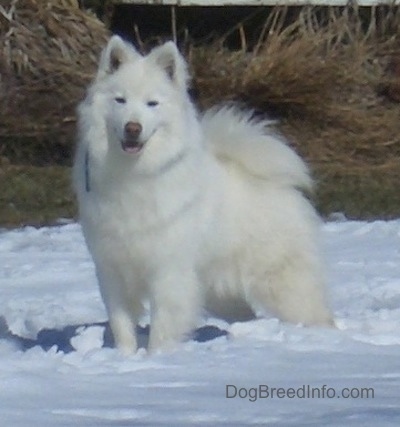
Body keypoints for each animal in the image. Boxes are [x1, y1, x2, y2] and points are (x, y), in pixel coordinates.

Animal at [73, 35, 332, 354]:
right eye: (119, 100)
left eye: (152, 104)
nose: (133, 128)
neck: (134, 175)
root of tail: (278, 184)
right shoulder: (111, 270)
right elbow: (121, 324)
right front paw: (125, 357)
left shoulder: (168, 272)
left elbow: (162, 325)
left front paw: (157, 357)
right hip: (222, 291)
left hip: (283, 284)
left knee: (318, 314)